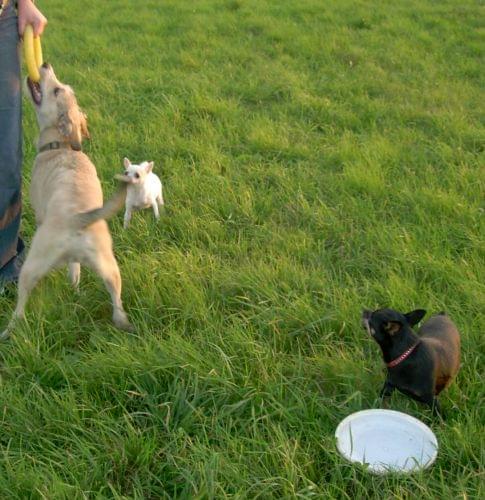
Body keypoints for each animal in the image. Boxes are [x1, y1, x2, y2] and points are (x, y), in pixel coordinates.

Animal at [0, 63, 133, 339]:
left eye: (56, 90)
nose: (45, 64)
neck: (61, 145)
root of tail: (78, 219)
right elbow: (75, 272)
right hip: (109, 268)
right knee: (113, 301)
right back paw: (120, 322)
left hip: (32, 265)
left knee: (20, 306)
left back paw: (8, 330)